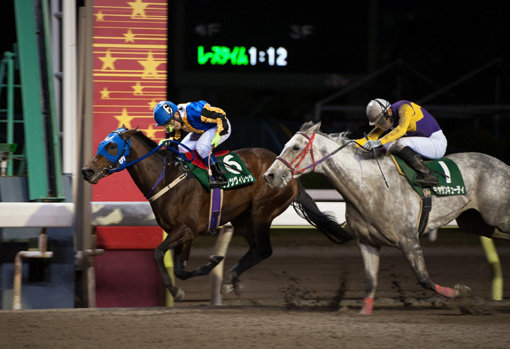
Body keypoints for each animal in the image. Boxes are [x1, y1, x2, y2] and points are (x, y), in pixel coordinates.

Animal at [81, 128, 352, 300]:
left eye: (112, 145)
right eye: (101, 144)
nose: (87, 171)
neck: (167, 178)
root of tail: (288, 173)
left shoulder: (186, 229)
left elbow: (158, 254)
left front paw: (179, 287)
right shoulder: (185, 234)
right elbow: (180, 269)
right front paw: (205, 268)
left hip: (262, 211)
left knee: (264, 249)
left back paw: (231, 279)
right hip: (242, 219)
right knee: (255, 249)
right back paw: (232, 281)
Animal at [262, 121, 510, 314]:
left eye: (295, 147)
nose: (269, 175)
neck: (369, 187)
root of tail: (503, 165)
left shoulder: (409, 240)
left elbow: (424, 278)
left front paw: (459, 293)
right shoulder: (368, 243)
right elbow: (370, 281)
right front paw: (364, 311)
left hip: (497, 217)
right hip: (479, 224)